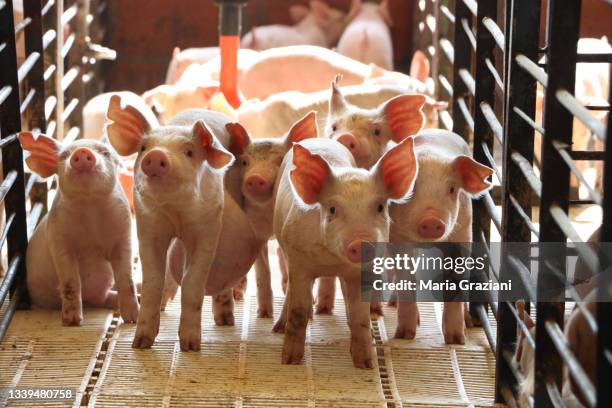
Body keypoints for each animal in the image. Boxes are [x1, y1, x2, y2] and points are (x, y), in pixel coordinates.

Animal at [19, 134, 140, 326]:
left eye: (105, 153)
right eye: (64, 155)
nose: (82, 151)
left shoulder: (124, 235)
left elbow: (126, 278)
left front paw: (133, 319)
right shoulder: (59, 241)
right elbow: (71, 282)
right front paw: (72, 322)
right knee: (100, 298)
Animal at [104, 95, 256, 350]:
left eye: (189, 151)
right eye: (143, 148)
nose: (156, 155)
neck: (175, 212)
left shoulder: (207, 228)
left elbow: (192, 283)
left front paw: (191, 346)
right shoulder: (148, 226)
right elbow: (153, 281)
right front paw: (140, 343)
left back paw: (225, 321)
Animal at [225, 111, 320, 316]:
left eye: (279, 160)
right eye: (245, 162)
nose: (255, 178)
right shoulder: (256, 230)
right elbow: (263, 270)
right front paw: (264, 314)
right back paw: (238, 295)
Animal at [274, 139, 418, 368]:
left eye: (380, 207)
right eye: (332, 209)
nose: (361, 242)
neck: (332, 261)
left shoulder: (363, 272)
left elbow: (361, 316)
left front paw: (366, 364)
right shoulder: (299, 262)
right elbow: (298, 312)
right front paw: (289, 362)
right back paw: (280, 327)